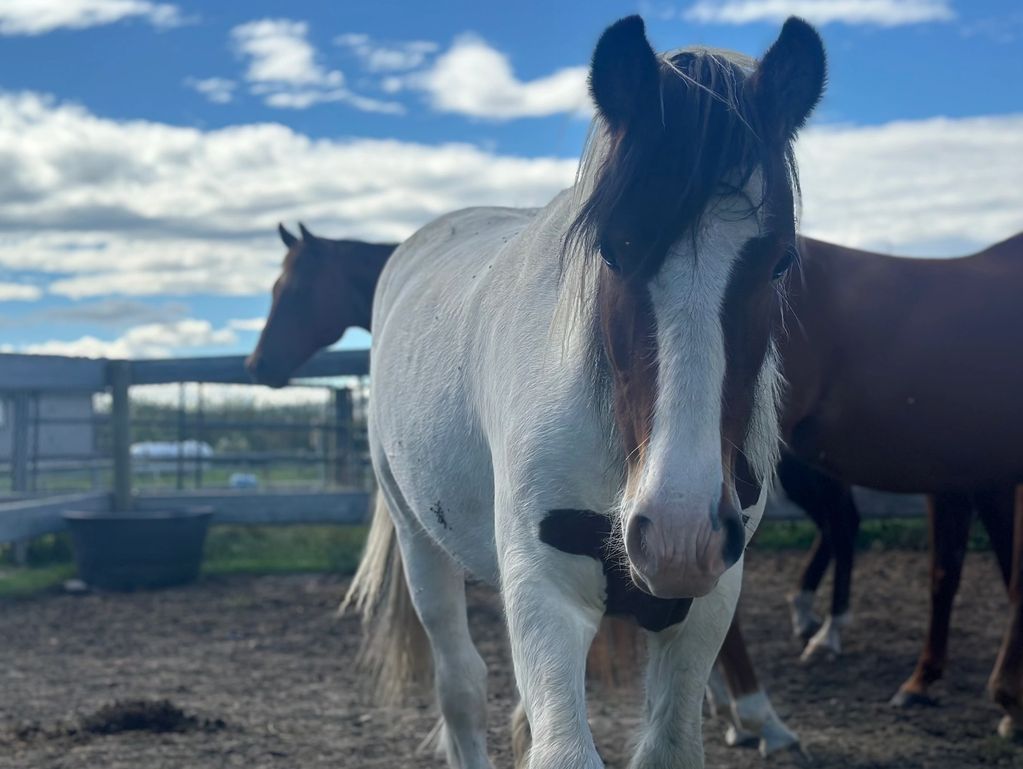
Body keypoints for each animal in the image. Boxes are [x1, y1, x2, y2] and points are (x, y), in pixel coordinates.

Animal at [343, 15, 825, 769]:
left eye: (779, 261)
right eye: (614, 249)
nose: (679, 532)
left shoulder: (709, 601)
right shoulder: (544, 590)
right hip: (419, 539)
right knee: (461, 686)